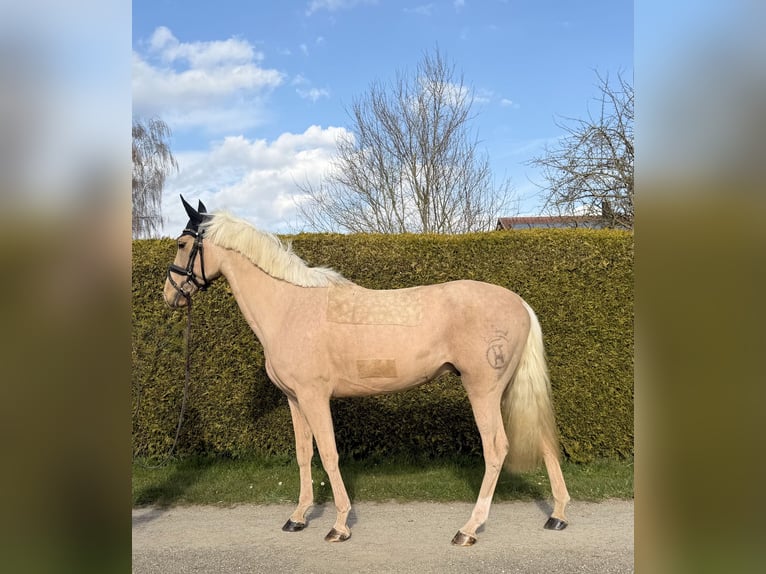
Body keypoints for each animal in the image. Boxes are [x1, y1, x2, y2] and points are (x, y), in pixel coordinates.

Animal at [163, 196, 570, 546]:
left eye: (182, 244)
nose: (169, 295)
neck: (289, 306)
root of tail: (519, 302)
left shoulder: (314, 397)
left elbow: (328, 454)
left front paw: (339, 525)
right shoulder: (295, 400)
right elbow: (303, 454)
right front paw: (297, 517)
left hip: (483, 390)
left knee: (497, 448)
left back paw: (469, 529)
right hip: (509, 388)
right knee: (544, 438)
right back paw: (558, 514)